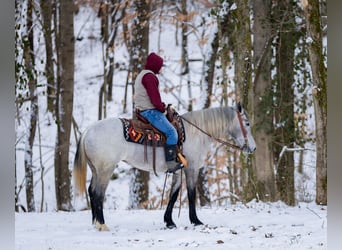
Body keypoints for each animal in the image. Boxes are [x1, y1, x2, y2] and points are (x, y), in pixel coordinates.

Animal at [73, 102, 255, 231]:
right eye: (247, 123)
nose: (253, 148)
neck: (195, 133)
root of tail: (88, 130)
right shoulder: (191, 168)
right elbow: (191, 194)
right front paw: (196, 221)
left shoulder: (178, 170)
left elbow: (173, 194)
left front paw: (169, 222)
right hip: (106, 169)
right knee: (98, 194)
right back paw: (102, 224)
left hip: (96, 169)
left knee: (92, 191)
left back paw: (95, 223)